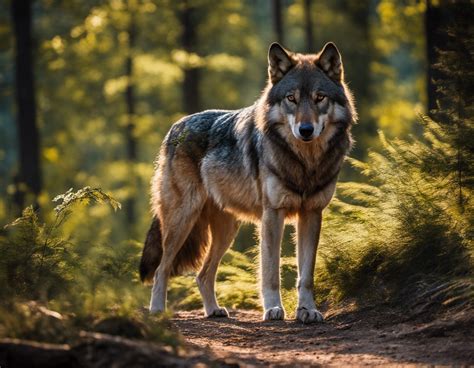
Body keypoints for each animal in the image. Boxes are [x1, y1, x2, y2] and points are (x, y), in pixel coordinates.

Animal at [140, 41, 356, 322]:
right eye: (291, 99)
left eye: (320, 98)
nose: (305, 130)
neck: (305, 163)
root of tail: (175, 127)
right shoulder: (273, 214)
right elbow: (271, 271)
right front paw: (273, 309)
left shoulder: (312, 214)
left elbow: (306, 275)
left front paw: (308, 310)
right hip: (182, 221)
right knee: (161, 269)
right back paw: (157, 310)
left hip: (226, 232)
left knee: (203, 275)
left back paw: (214, 310)